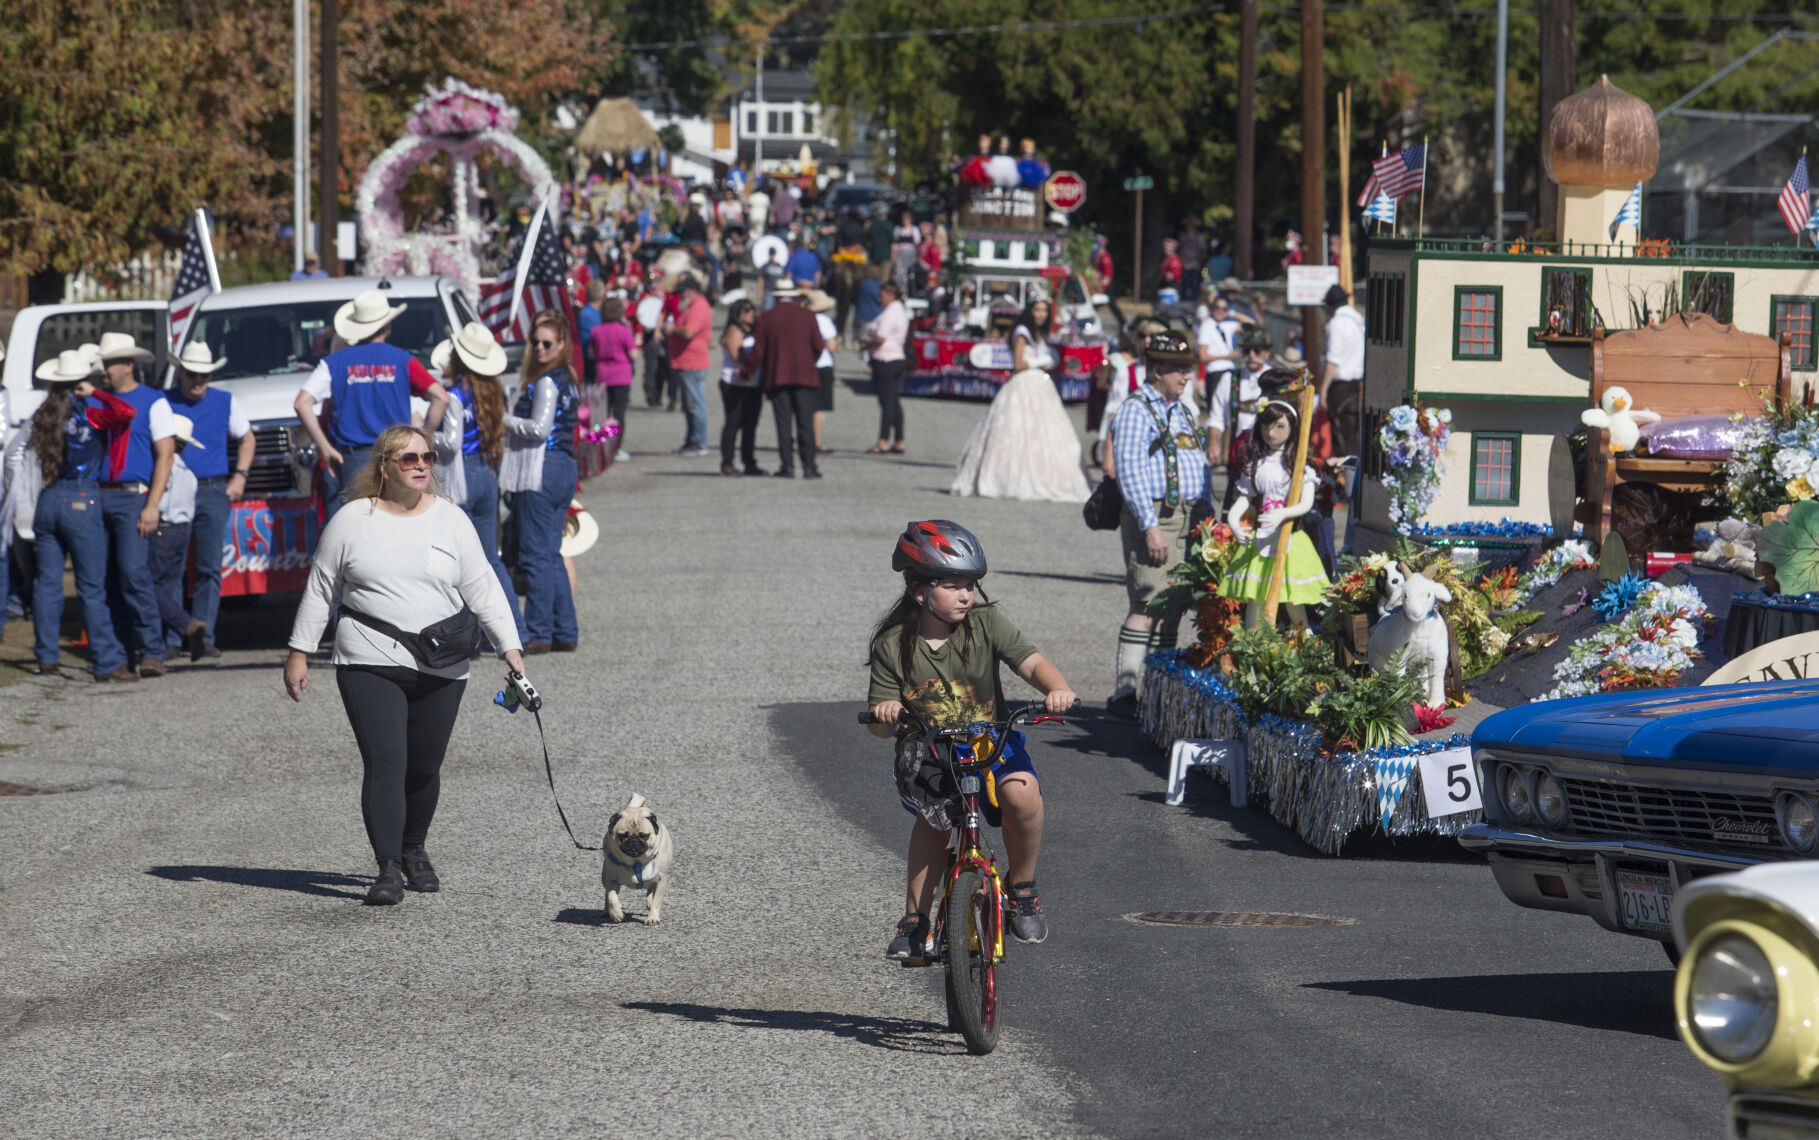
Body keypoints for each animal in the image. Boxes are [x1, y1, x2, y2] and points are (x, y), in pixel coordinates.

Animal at [607, 792, 673, 927]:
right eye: (623, 836)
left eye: (644, 836)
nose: (633, 840)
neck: (635, 861)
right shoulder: (610, 879)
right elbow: (611, 896)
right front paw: (616, 913)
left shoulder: (660, 880)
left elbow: (656, 902)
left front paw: (652, 918)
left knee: (650, 891)